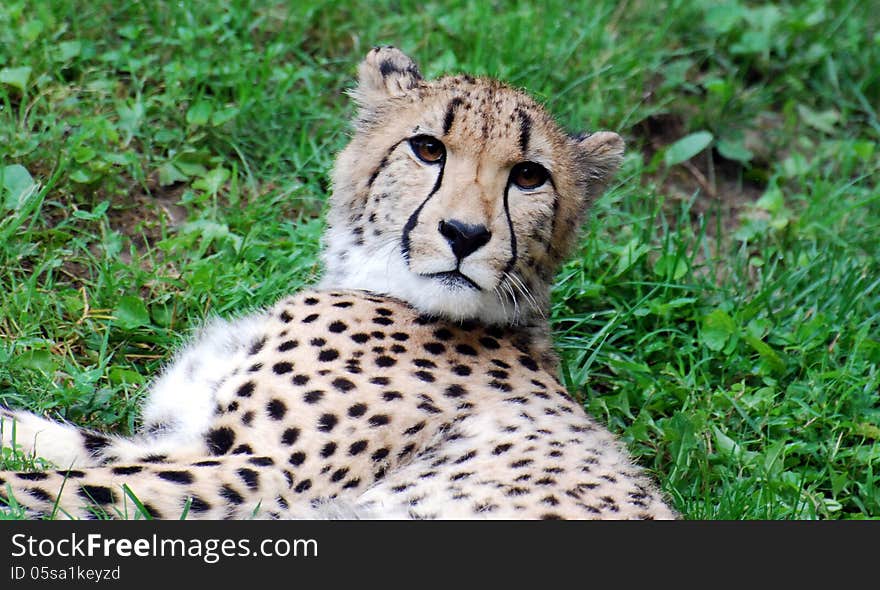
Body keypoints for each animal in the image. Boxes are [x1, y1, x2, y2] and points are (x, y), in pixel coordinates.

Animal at [0, 47, 672, 524]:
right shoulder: (189, 438)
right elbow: (70, 444)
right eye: (428, 148)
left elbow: (56, 488)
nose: (464, 233)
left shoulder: (255, 475)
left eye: (530, 177)